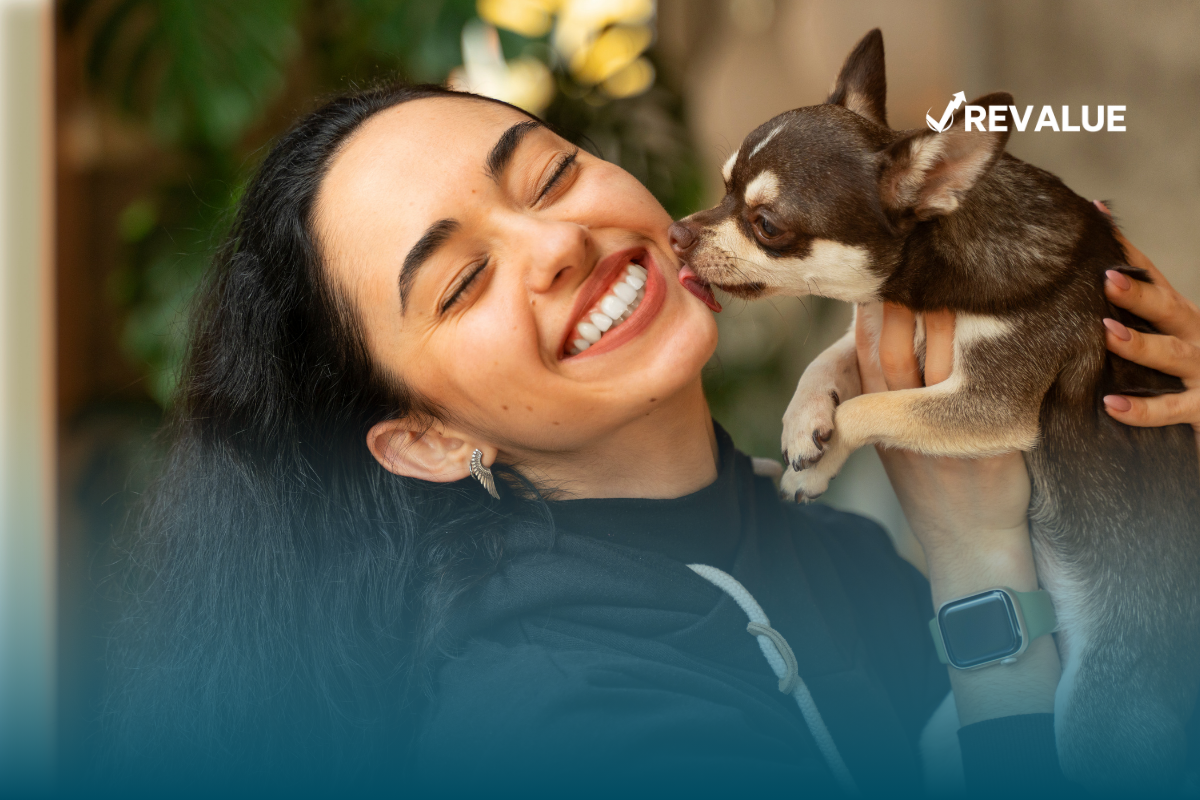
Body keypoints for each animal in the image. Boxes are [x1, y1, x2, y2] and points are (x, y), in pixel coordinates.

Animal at [672, 28, 1200, 791]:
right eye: (720, 189)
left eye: (765, 224)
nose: (676, 232)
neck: (948, 246)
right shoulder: (880, 325)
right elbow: (832, 359)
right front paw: (804, 428)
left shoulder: (990, 404)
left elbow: (870, 405)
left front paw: (822, 452)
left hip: (1095, 721)